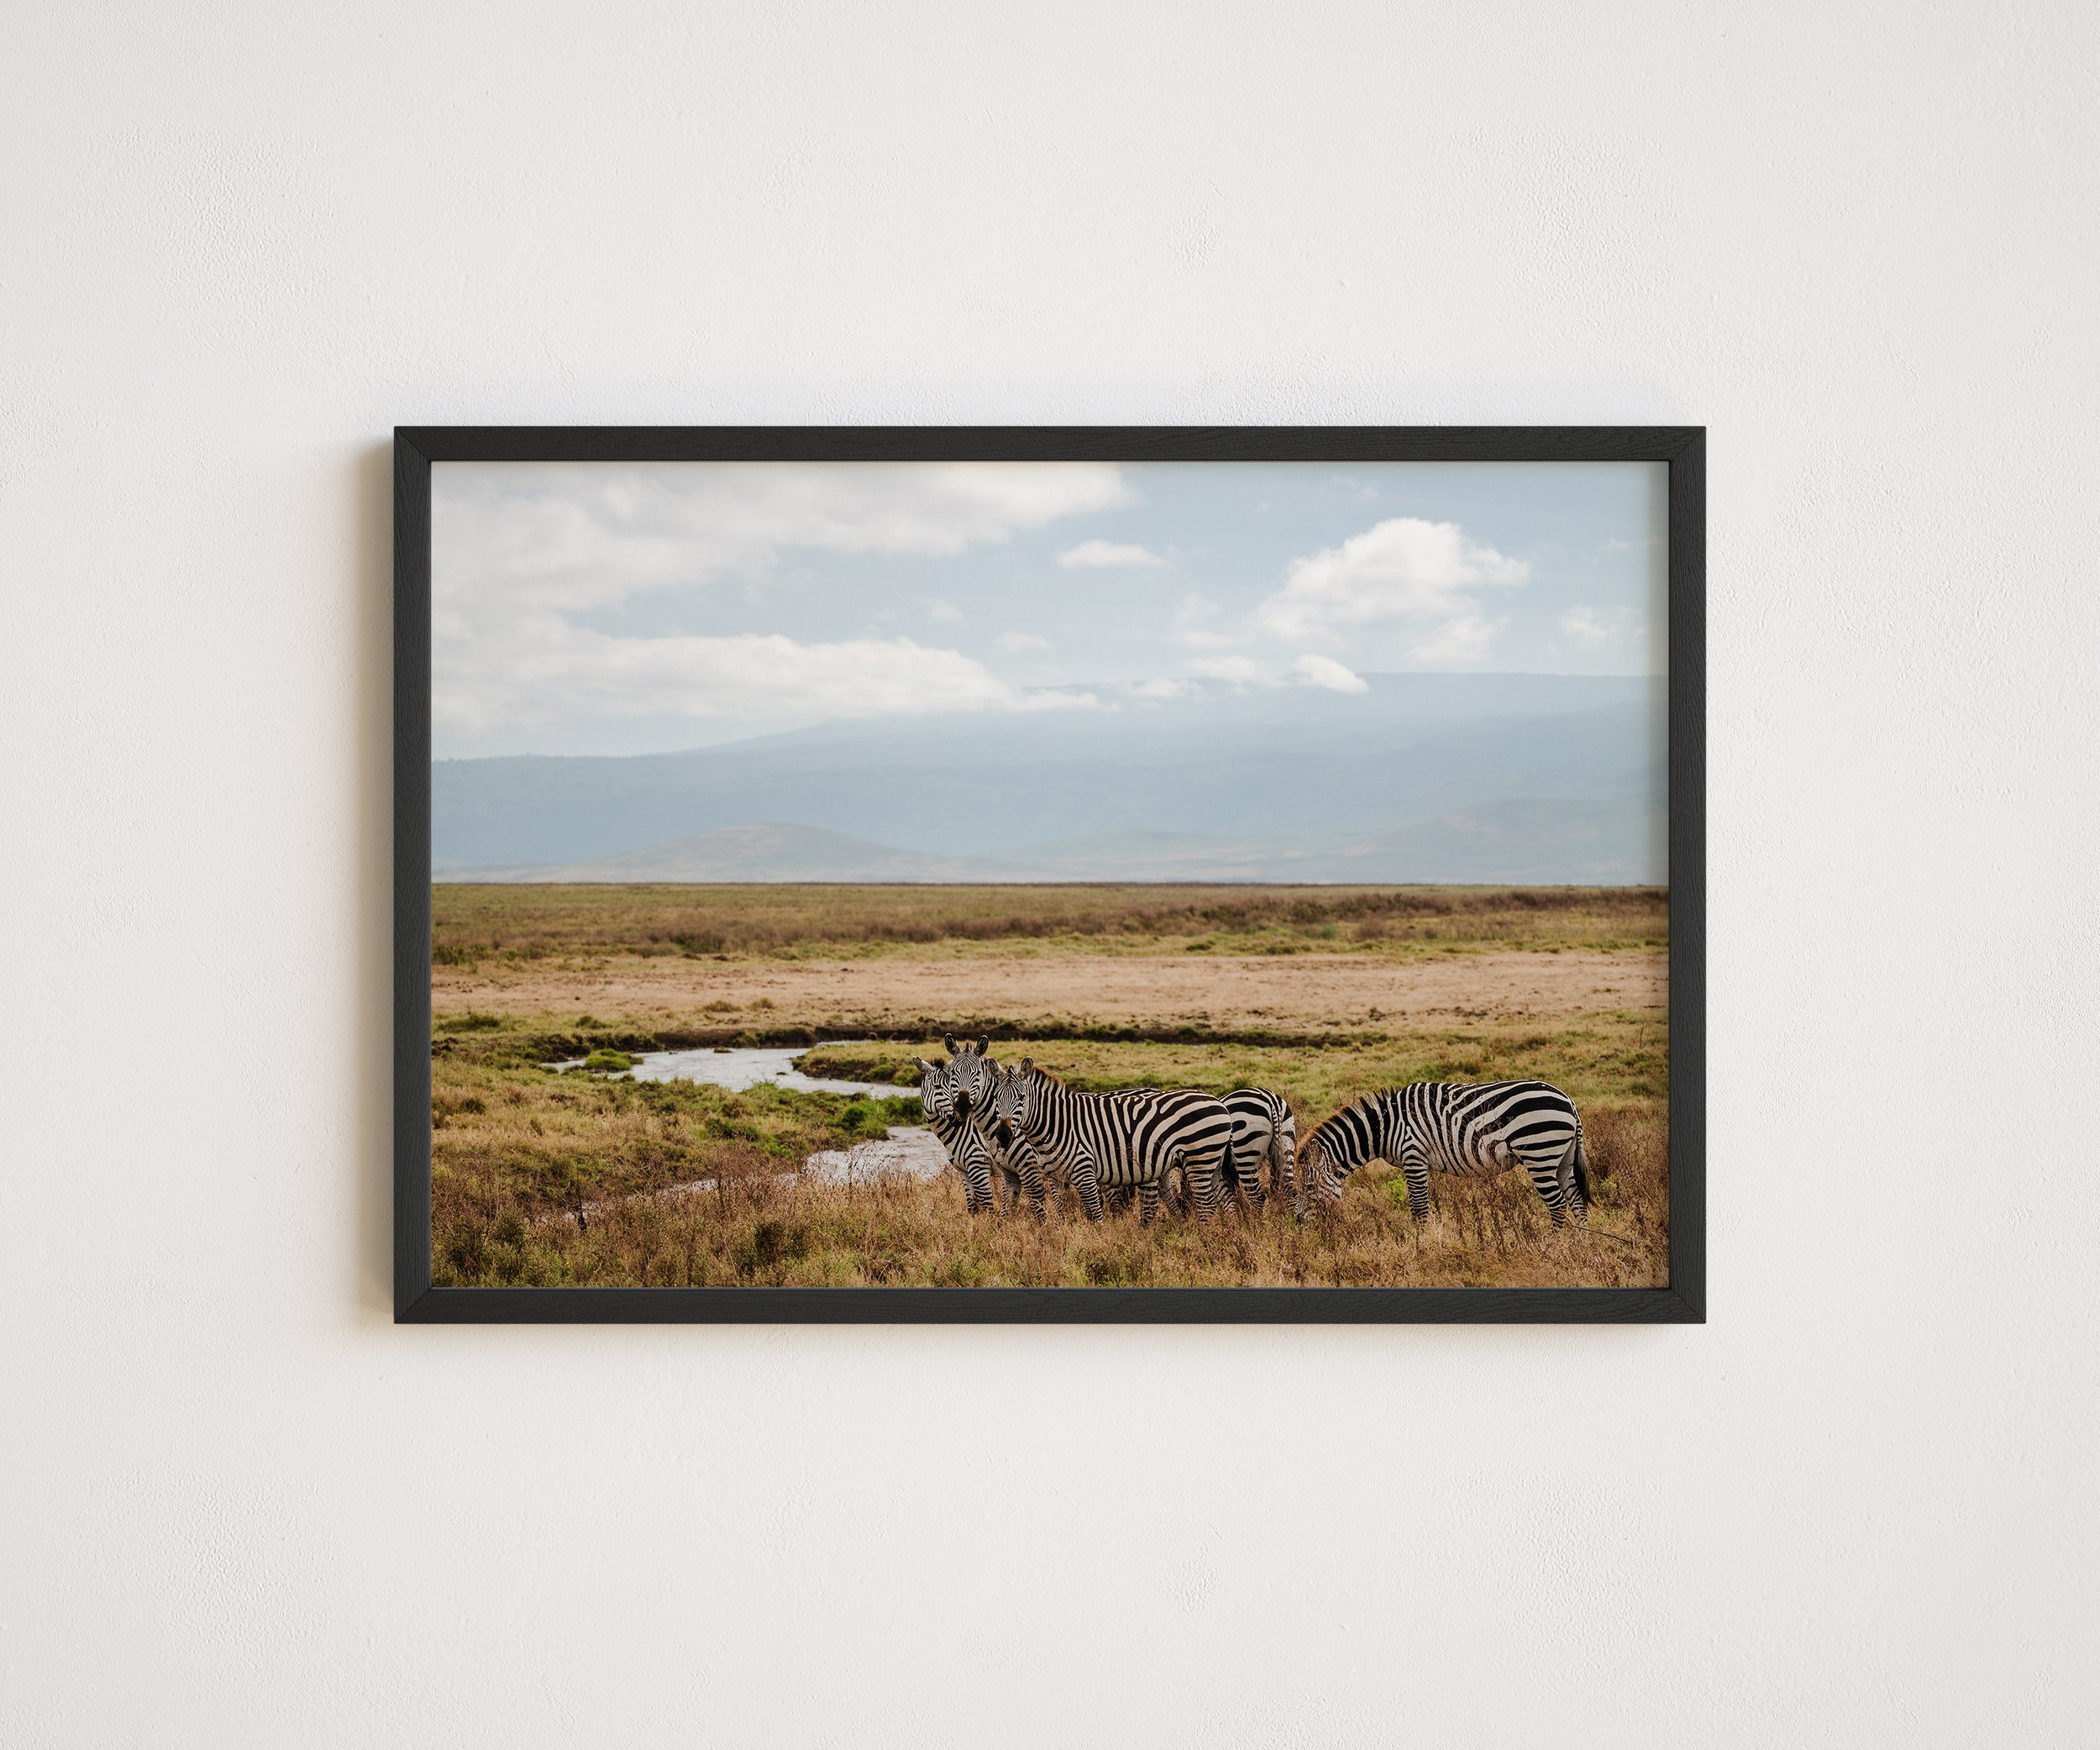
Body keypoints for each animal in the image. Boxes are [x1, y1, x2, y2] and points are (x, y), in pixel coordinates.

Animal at [989, 1058, 1234, 1223]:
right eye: (995, 1098)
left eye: (1021, 1098)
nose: (1003, 1135)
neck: (1057, 1123)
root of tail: (1219, 1103)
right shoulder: (1055, 1177)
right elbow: (1061, 1214)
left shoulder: (1085, 1172)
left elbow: (1095, 1216)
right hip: (1211, 1163)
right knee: (1226, 1199)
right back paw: (1227, 1236)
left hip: (1199, 1160)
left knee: (1207, 1206)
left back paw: (1206, 1241)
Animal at [1295, 1080, 1591, 1227]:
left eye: (1308, 1186)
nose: (1297, 1223)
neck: (1386, 1127)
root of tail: (1569, 1101)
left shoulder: (1414, 1155)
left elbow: (1419, 1207)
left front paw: (1421, 1245)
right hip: (1562, 1158)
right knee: (1576, 1201)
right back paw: (1580, 1245)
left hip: (1539, 1154)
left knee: (1558, 1205)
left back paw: (1555, 1247)